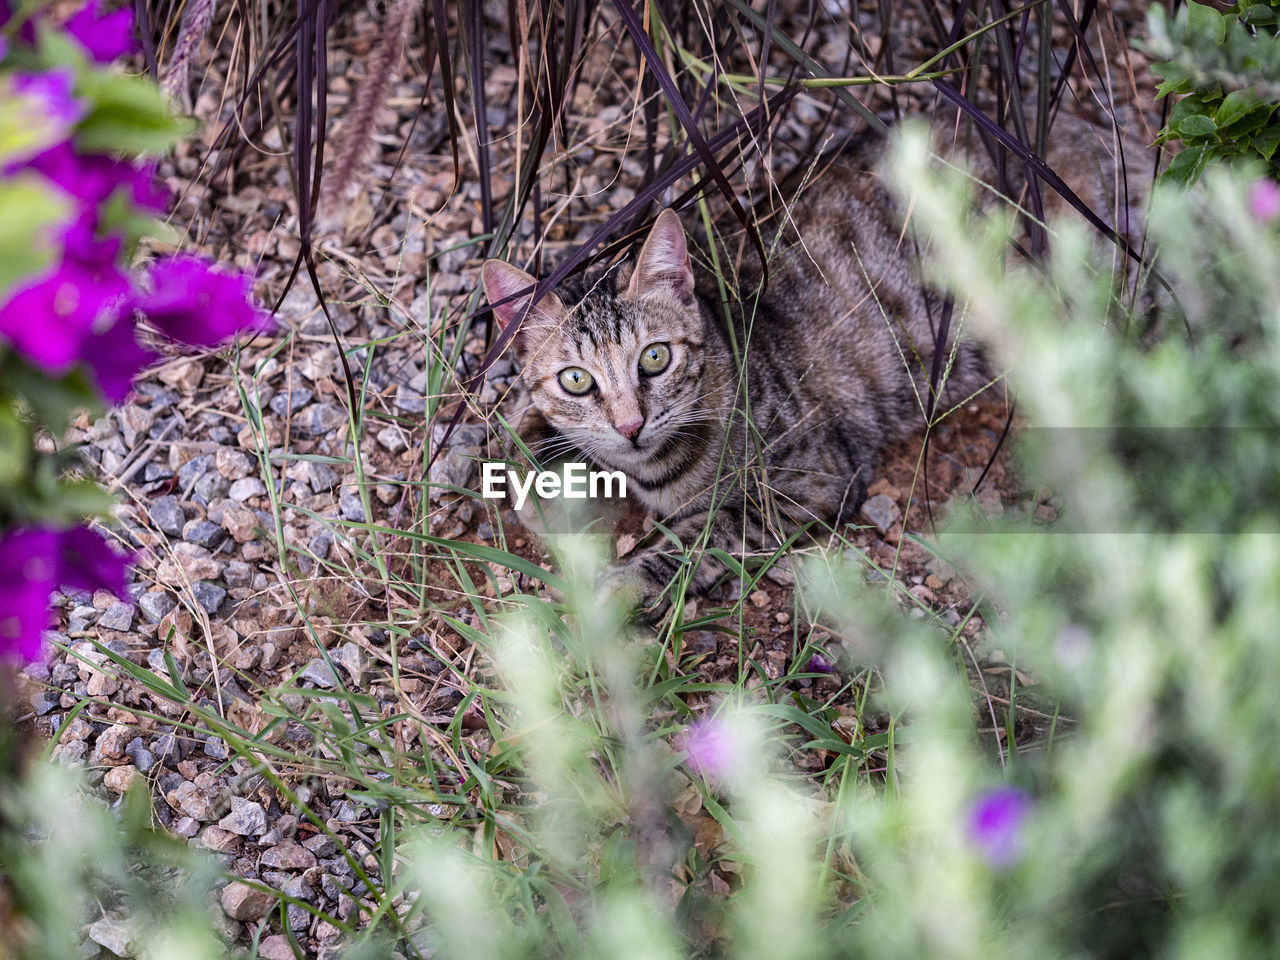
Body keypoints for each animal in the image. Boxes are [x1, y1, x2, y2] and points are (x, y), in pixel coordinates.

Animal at [483, 133, 993, 616]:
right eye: (576, 380)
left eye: (655, 358)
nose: (630, 426)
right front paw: (532, 467)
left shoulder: (815, 475)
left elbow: (712, 529)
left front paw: (634, 582)